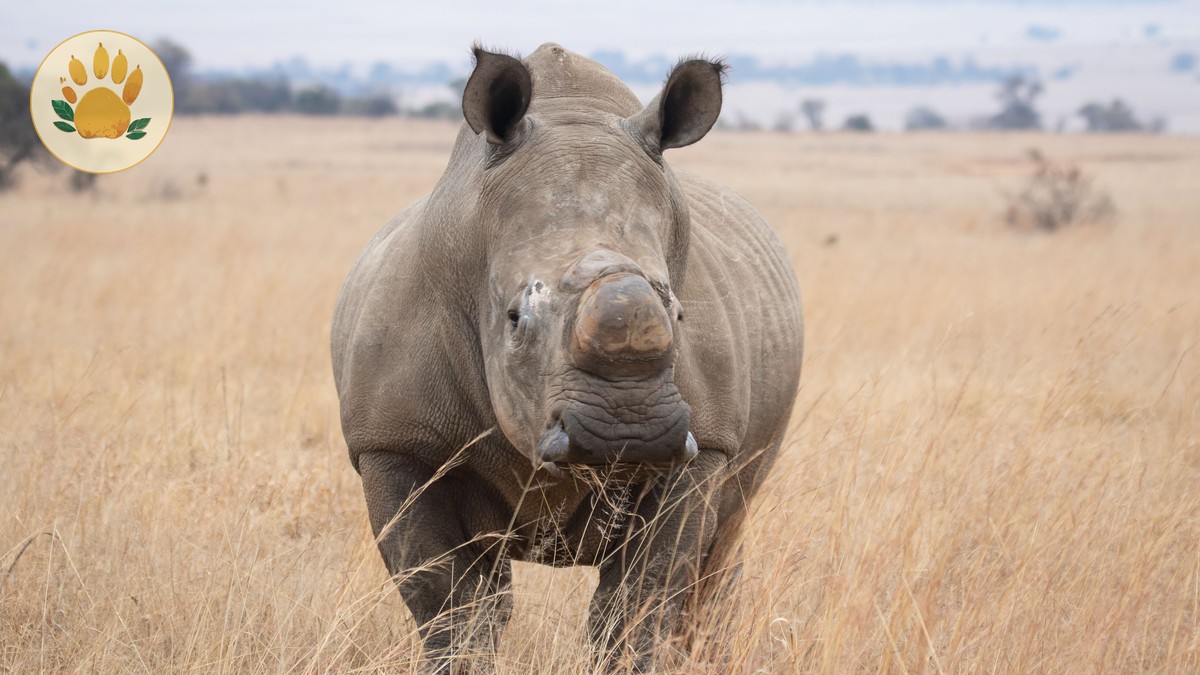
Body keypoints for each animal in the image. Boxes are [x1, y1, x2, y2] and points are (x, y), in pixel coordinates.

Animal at [331, 43, 803, 672]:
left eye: (678, 314)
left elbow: (642, 598)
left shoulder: (705, 447)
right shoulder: (393, 442)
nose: (627, 430)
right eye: (514, 319)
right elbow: (448, 604)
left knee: (717, 550)